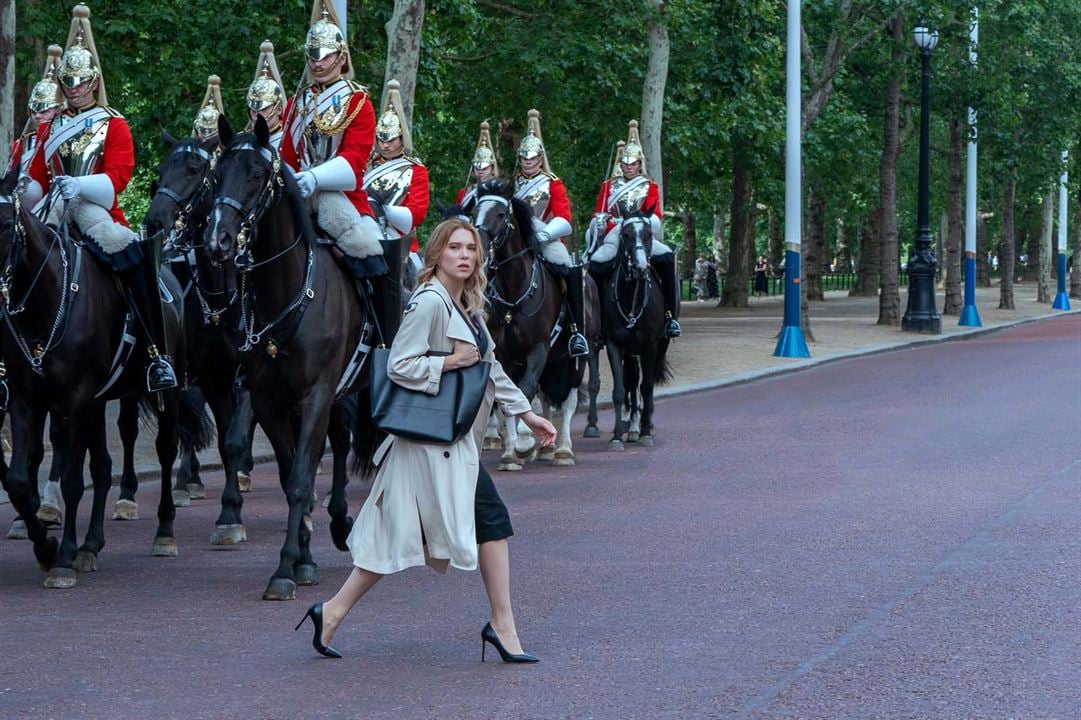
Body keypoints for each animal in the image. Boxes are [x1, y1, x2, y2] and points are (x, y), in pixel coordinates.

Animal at [0, 169, 210, 588]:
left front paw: (62, 557)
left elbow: (71, 480)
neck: (48, 298)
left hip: (167, 391)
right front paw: (46, 546)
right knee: (102, 467)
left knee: (165, 450)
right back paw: (91, 545)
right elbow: (18, 479)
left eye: (4, 224)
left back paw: (164, 532)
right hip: (98, 404)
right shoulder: (27, 399)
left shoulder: (76, 400)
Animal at [204, 118, 374, 601]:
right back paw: (337, 522)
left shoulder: (316, 393)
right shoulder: (268, 398)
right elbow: (290, 476)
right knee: (338, 442)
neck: (288, 289)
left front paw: (284, 567)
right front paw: (301, 559)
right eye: (216, 175)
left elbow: (300, 479)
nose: (218, 241)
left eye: (257, 175)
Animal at [471, 179, 562, 469]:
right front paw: (512, 452)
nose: (478, 247)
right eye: (474, 211)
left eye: (501, 214)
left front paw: (524, 441)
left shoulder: (540, 348)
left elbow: (526, 388)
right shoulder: (503, 354)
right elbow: (509, 398)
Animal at [596, 204, 670, 445]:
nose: (640, 267)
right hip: (629, 350)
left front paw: (646, 432)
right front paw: (617, 436)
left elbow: (646, 387)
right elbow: (620, 389)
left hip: (660, 344)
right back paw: (633, 425)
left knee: (645, 382)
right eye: (625, 234)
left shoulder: (650, 346)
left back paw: (645, 424)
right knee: (631, 379)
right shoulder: (614, 345)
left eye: (648, 234)